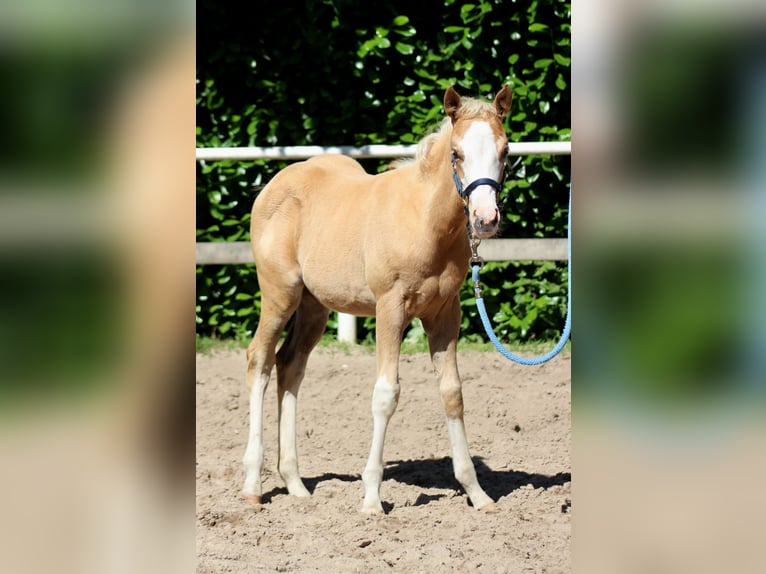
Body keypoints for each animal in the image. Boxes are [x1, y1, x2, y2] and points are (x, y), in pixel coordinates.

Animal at [243, 85, 512, 514]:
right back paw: (253, 484)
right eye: (456, 153)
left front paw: (477, 493)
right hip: (280, 294)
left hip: (314, 306)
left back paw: (296, 485)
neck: (425, 221)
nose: (485, 219)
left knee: (290, 365)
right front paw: (371, 499)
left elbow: (452, 393)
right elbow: (386, 394)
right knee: (260, 361)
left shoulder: (444, 314)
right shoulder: (391, 308)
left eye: (505, 151)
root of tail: (274, 184)